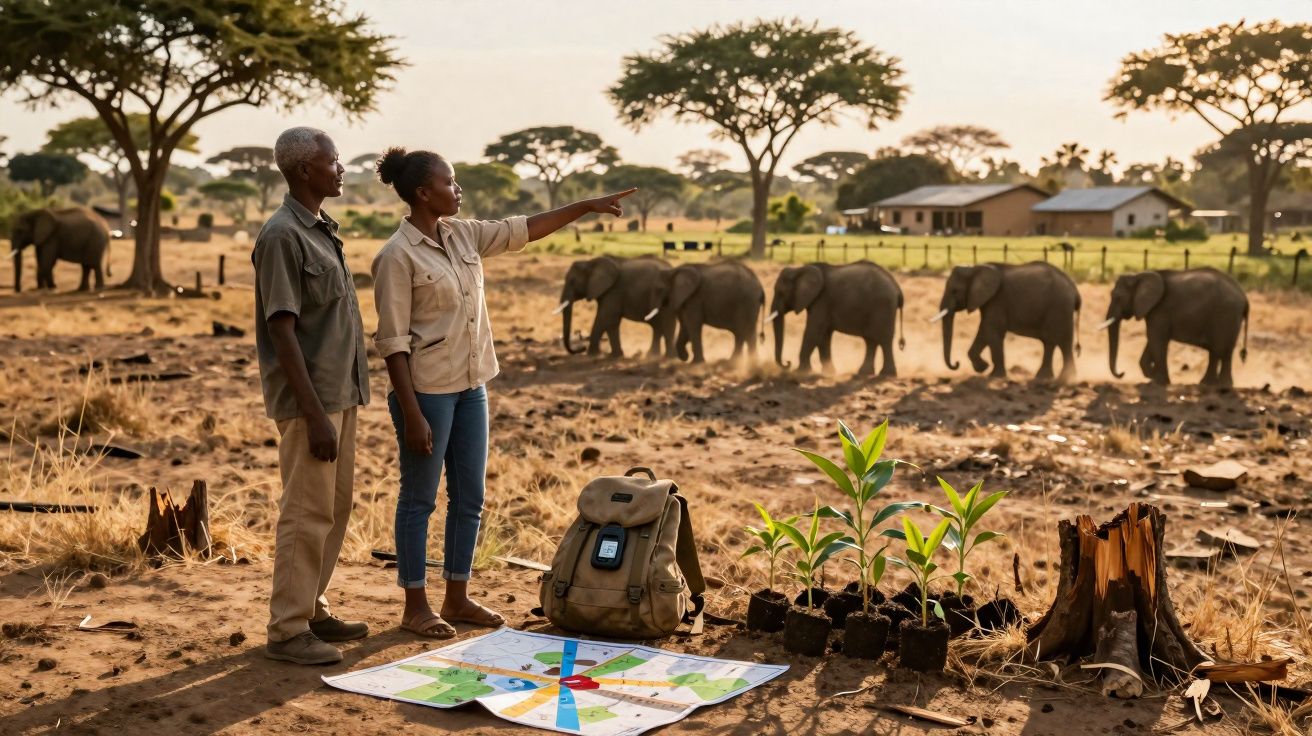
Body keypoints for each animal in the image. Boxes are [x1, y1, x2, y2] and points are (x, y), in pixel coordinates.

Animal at [769, 261, 904, 376]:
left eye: (780, 292)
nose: (787, 363)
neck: (799, 270)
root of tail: (897, 289)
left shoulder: (822, 301)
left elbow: (813, 331)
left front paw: (800, 372)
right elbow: (823, 336)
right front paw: (828, 373)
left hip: (883, 307)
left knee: (884, 341)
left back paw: (886, 374)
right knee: (871, 340)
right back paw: (864, 373)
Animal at [932, 262, 1081, 382]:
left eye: (954, 291)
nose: (956, 364)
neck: (976, 268)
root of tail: (1074, 289)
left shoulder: (997, 300)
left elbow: (991, 331)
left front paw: (994, 375)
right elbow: (985, 331)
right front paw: (983, 368)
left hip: (1060, 308)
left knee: (1063, 342)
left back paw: (1065, 379)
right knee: (1050, 342)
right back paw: (1044, 378)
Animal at [1099, 268, 1249, 387]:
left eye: (1117, 297)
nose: (1122, 373)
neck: (1139, 275)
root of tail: (1244, 297)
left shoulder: (1160, 310)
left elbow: (1156, 339)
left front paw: (1157, 382)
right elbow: (1153, 340)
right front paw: (1152, 376)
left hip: (1225, 315)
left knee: (1220, 350)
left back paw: (1217, 385)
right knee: (1221, 351)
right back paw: (1212, 384)